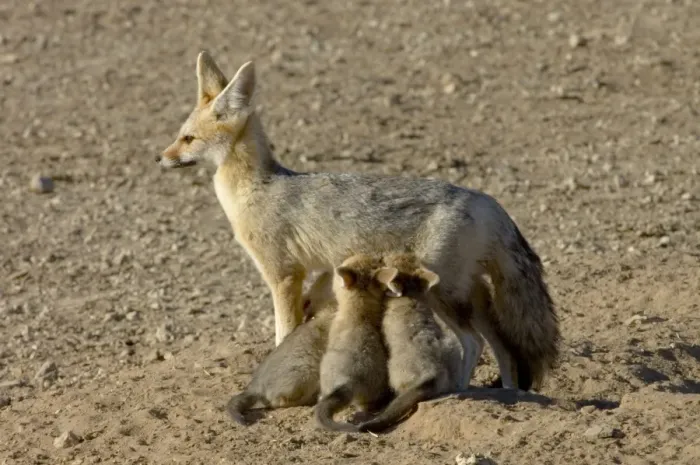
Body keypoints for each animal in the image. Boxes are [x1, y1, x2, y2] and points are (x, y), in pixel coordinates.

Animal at [157, 51, 560, 391]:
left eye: (187, 139)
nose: (159, 159)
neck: (257, 187)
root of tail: (488, 201)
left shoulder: (283, 275)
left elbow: (283, 332)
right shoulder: (319, 272)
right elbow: (311, 308)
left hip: (442, 292)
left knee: (474, 343)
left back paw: (459, 392)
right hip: (470, 295)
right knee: (505, 347)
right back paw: (510, 395)